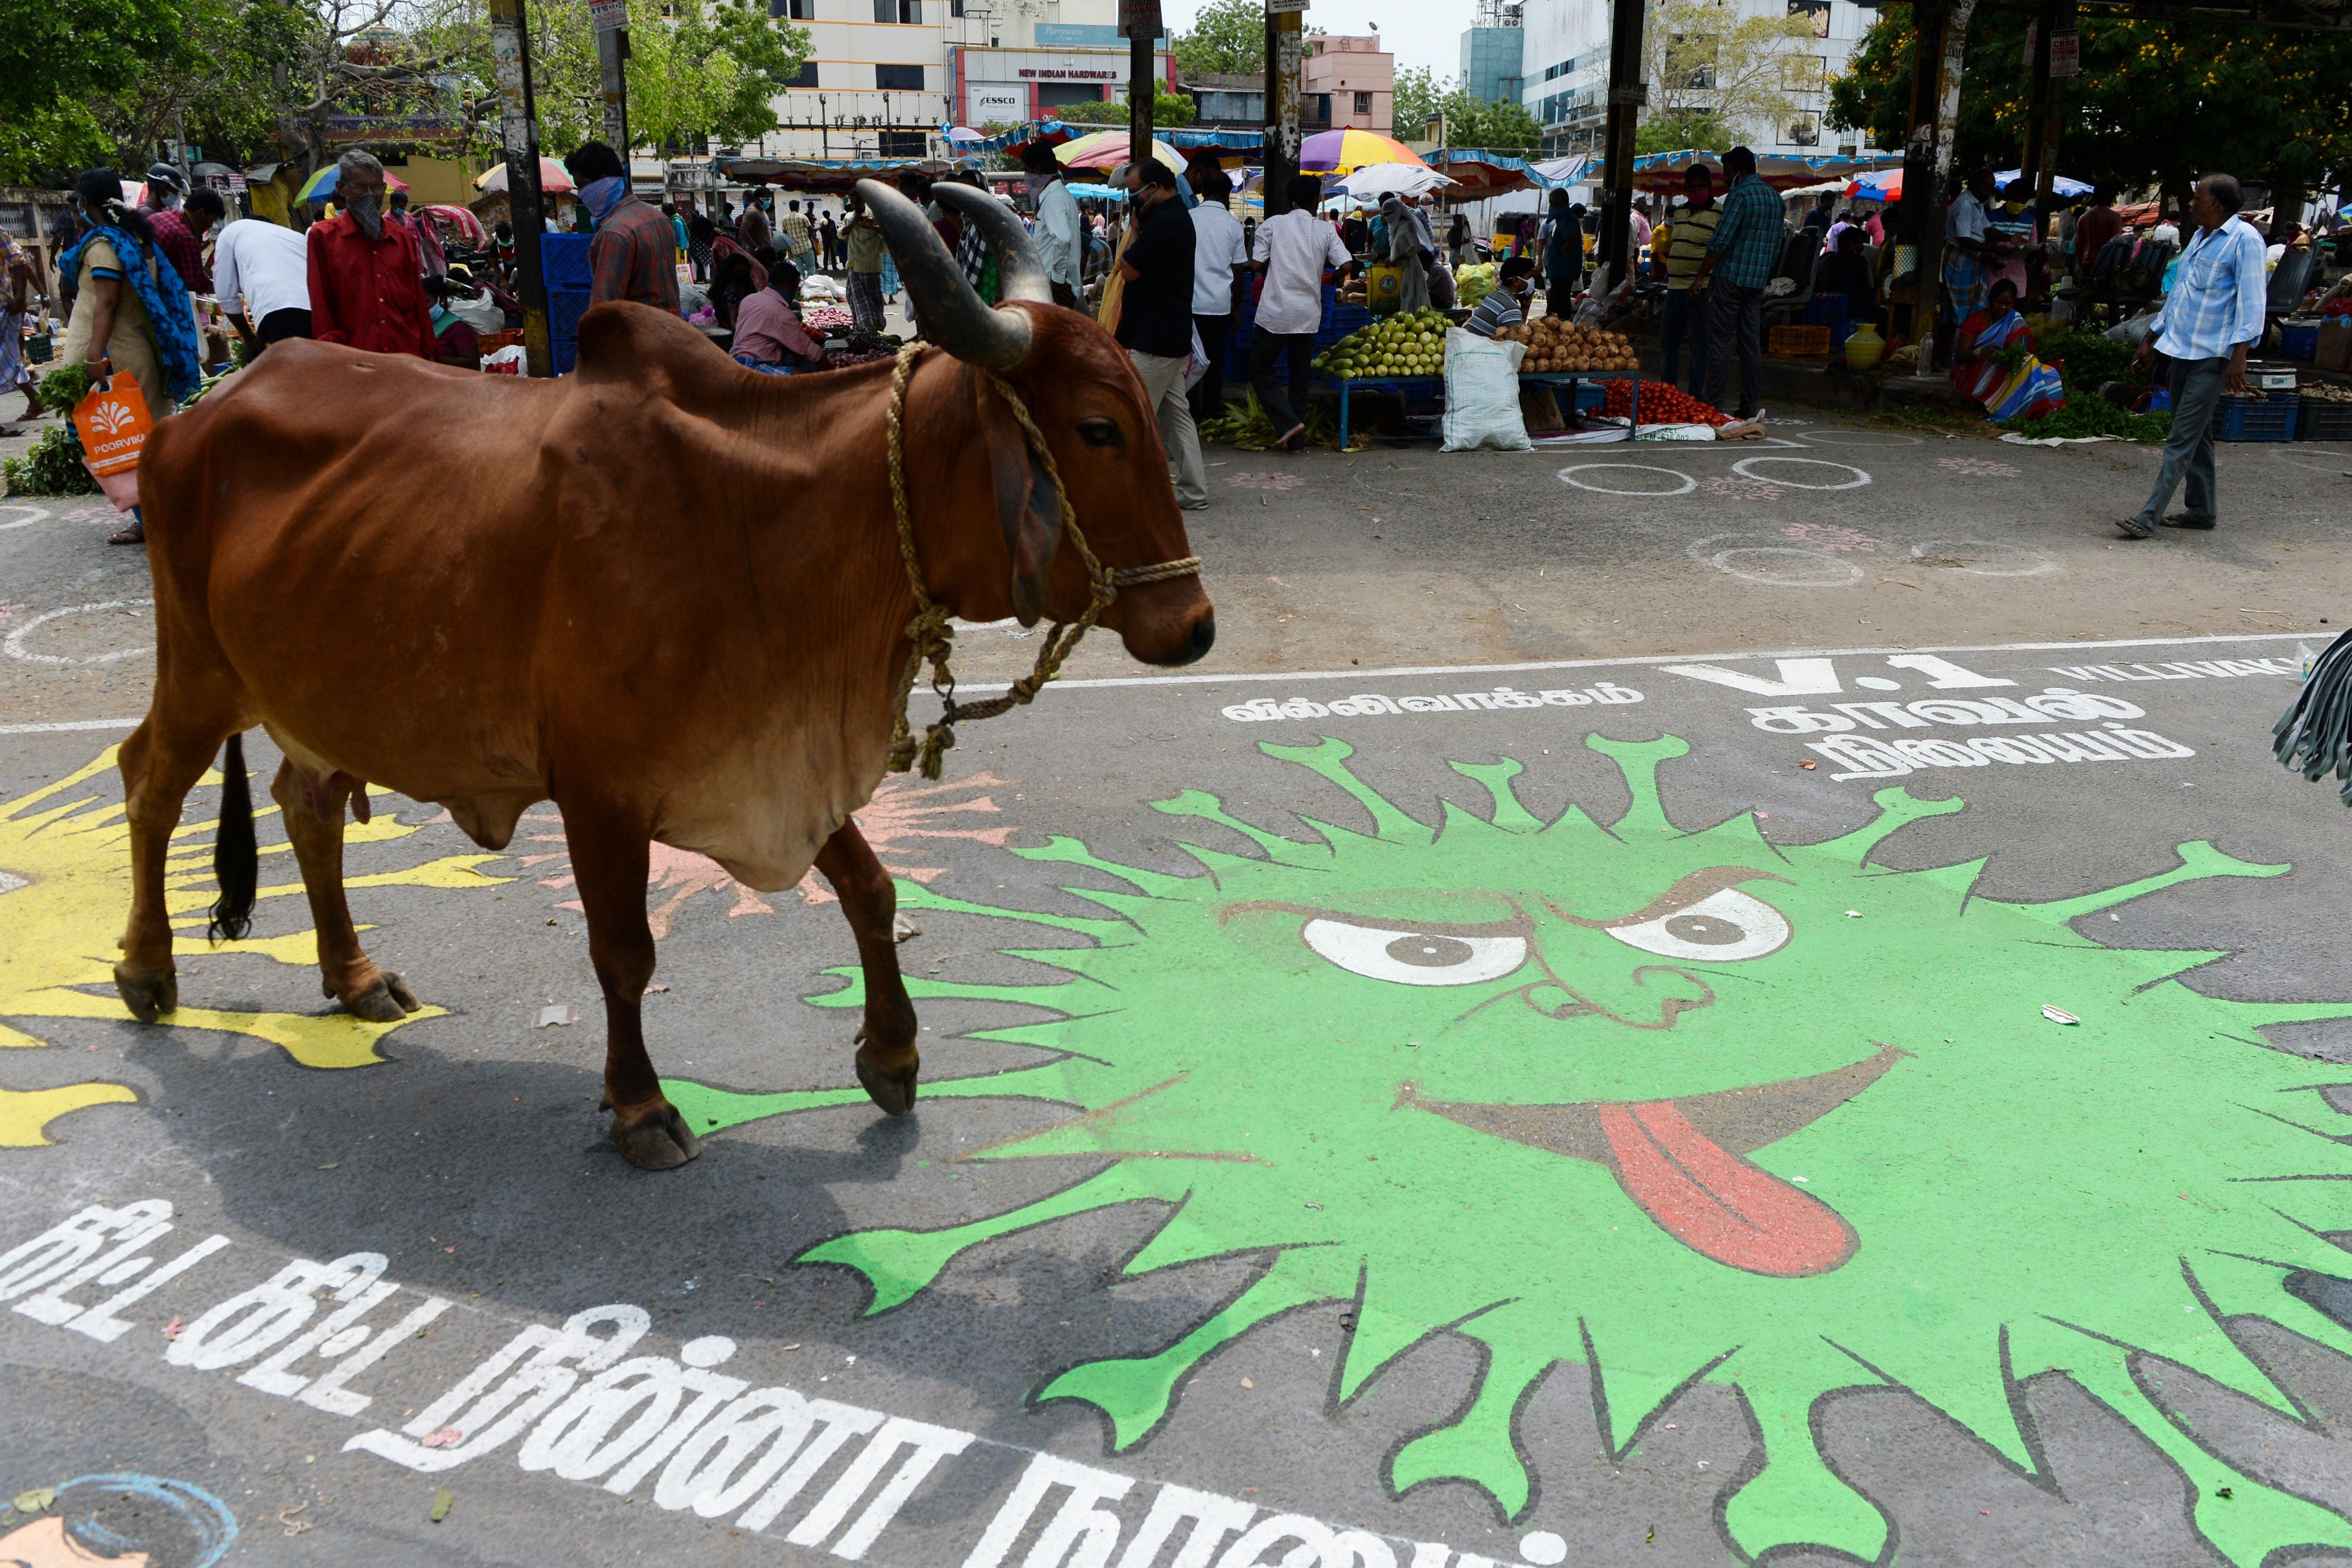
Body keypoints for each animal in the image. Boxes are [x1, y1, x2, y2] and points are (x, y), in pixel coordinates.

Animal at [110, 181, 1214, 1166]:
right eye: (1099, 428)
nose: (1196, 628)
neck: (771, 523)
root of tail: (198, 411)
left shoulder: (776, 754)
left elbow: (872, 888)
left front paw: (894, 1054)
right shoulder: (600, 794)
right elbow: (625, 953)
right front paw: (640, 1105)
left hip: (315, 691)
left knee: (307, 806)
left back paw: (352, 975)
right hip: (201, 668)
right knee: (148, 780)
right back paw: (147, 971)